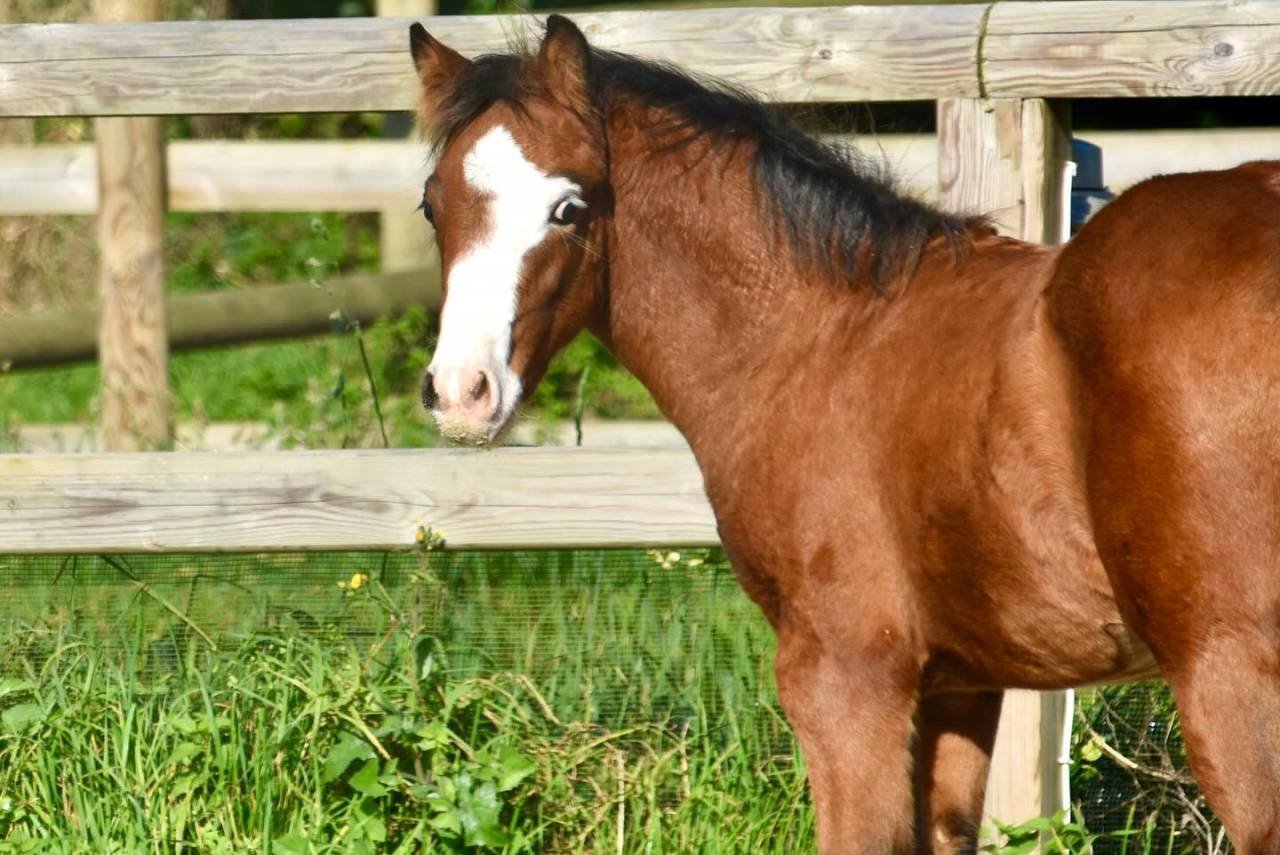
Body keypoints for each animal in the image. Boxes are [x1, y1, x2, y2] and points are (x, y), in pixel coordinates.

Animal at [406, 15, 1280, 854]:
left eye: (568, 207)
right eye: (431, 206)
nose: (461, 391)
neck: (815, 338)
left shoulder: (844, 677)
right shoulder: (960, 685)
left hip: (1228, 673)